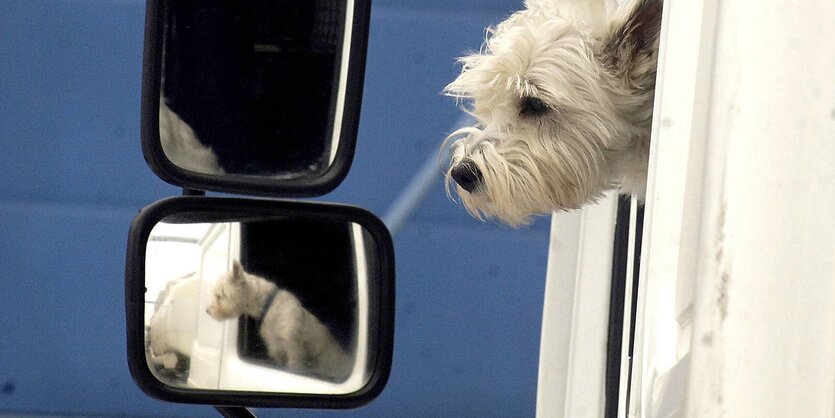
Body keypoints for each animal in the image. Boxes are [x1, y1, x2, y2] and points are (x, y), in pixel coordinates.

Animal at [209, 262, 356, 382]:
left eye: (220, 295)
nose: (208, 311)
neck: (267, 307)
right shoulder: (275, 348)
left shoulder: (293, 348)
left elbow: (293, 366)